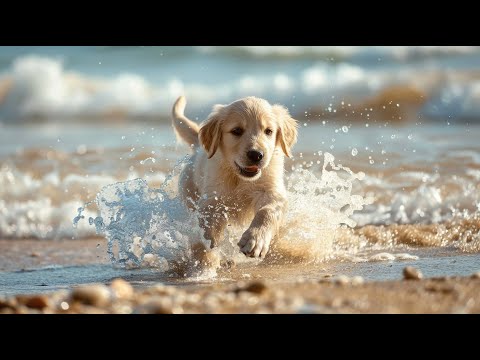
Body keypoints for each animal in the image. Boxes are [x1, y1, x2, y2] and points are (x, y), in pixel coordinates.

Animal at [171, 96, 298, 258]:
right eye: (237, 131)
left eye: (268, 131)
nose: (256, 155)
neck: (240, 178)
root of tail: (198, 147)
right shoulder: (213, 199)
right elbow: (210, 228)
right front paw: (210, 250)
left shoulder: (272, 191)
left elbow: (266, 212)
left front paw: (255, 240)